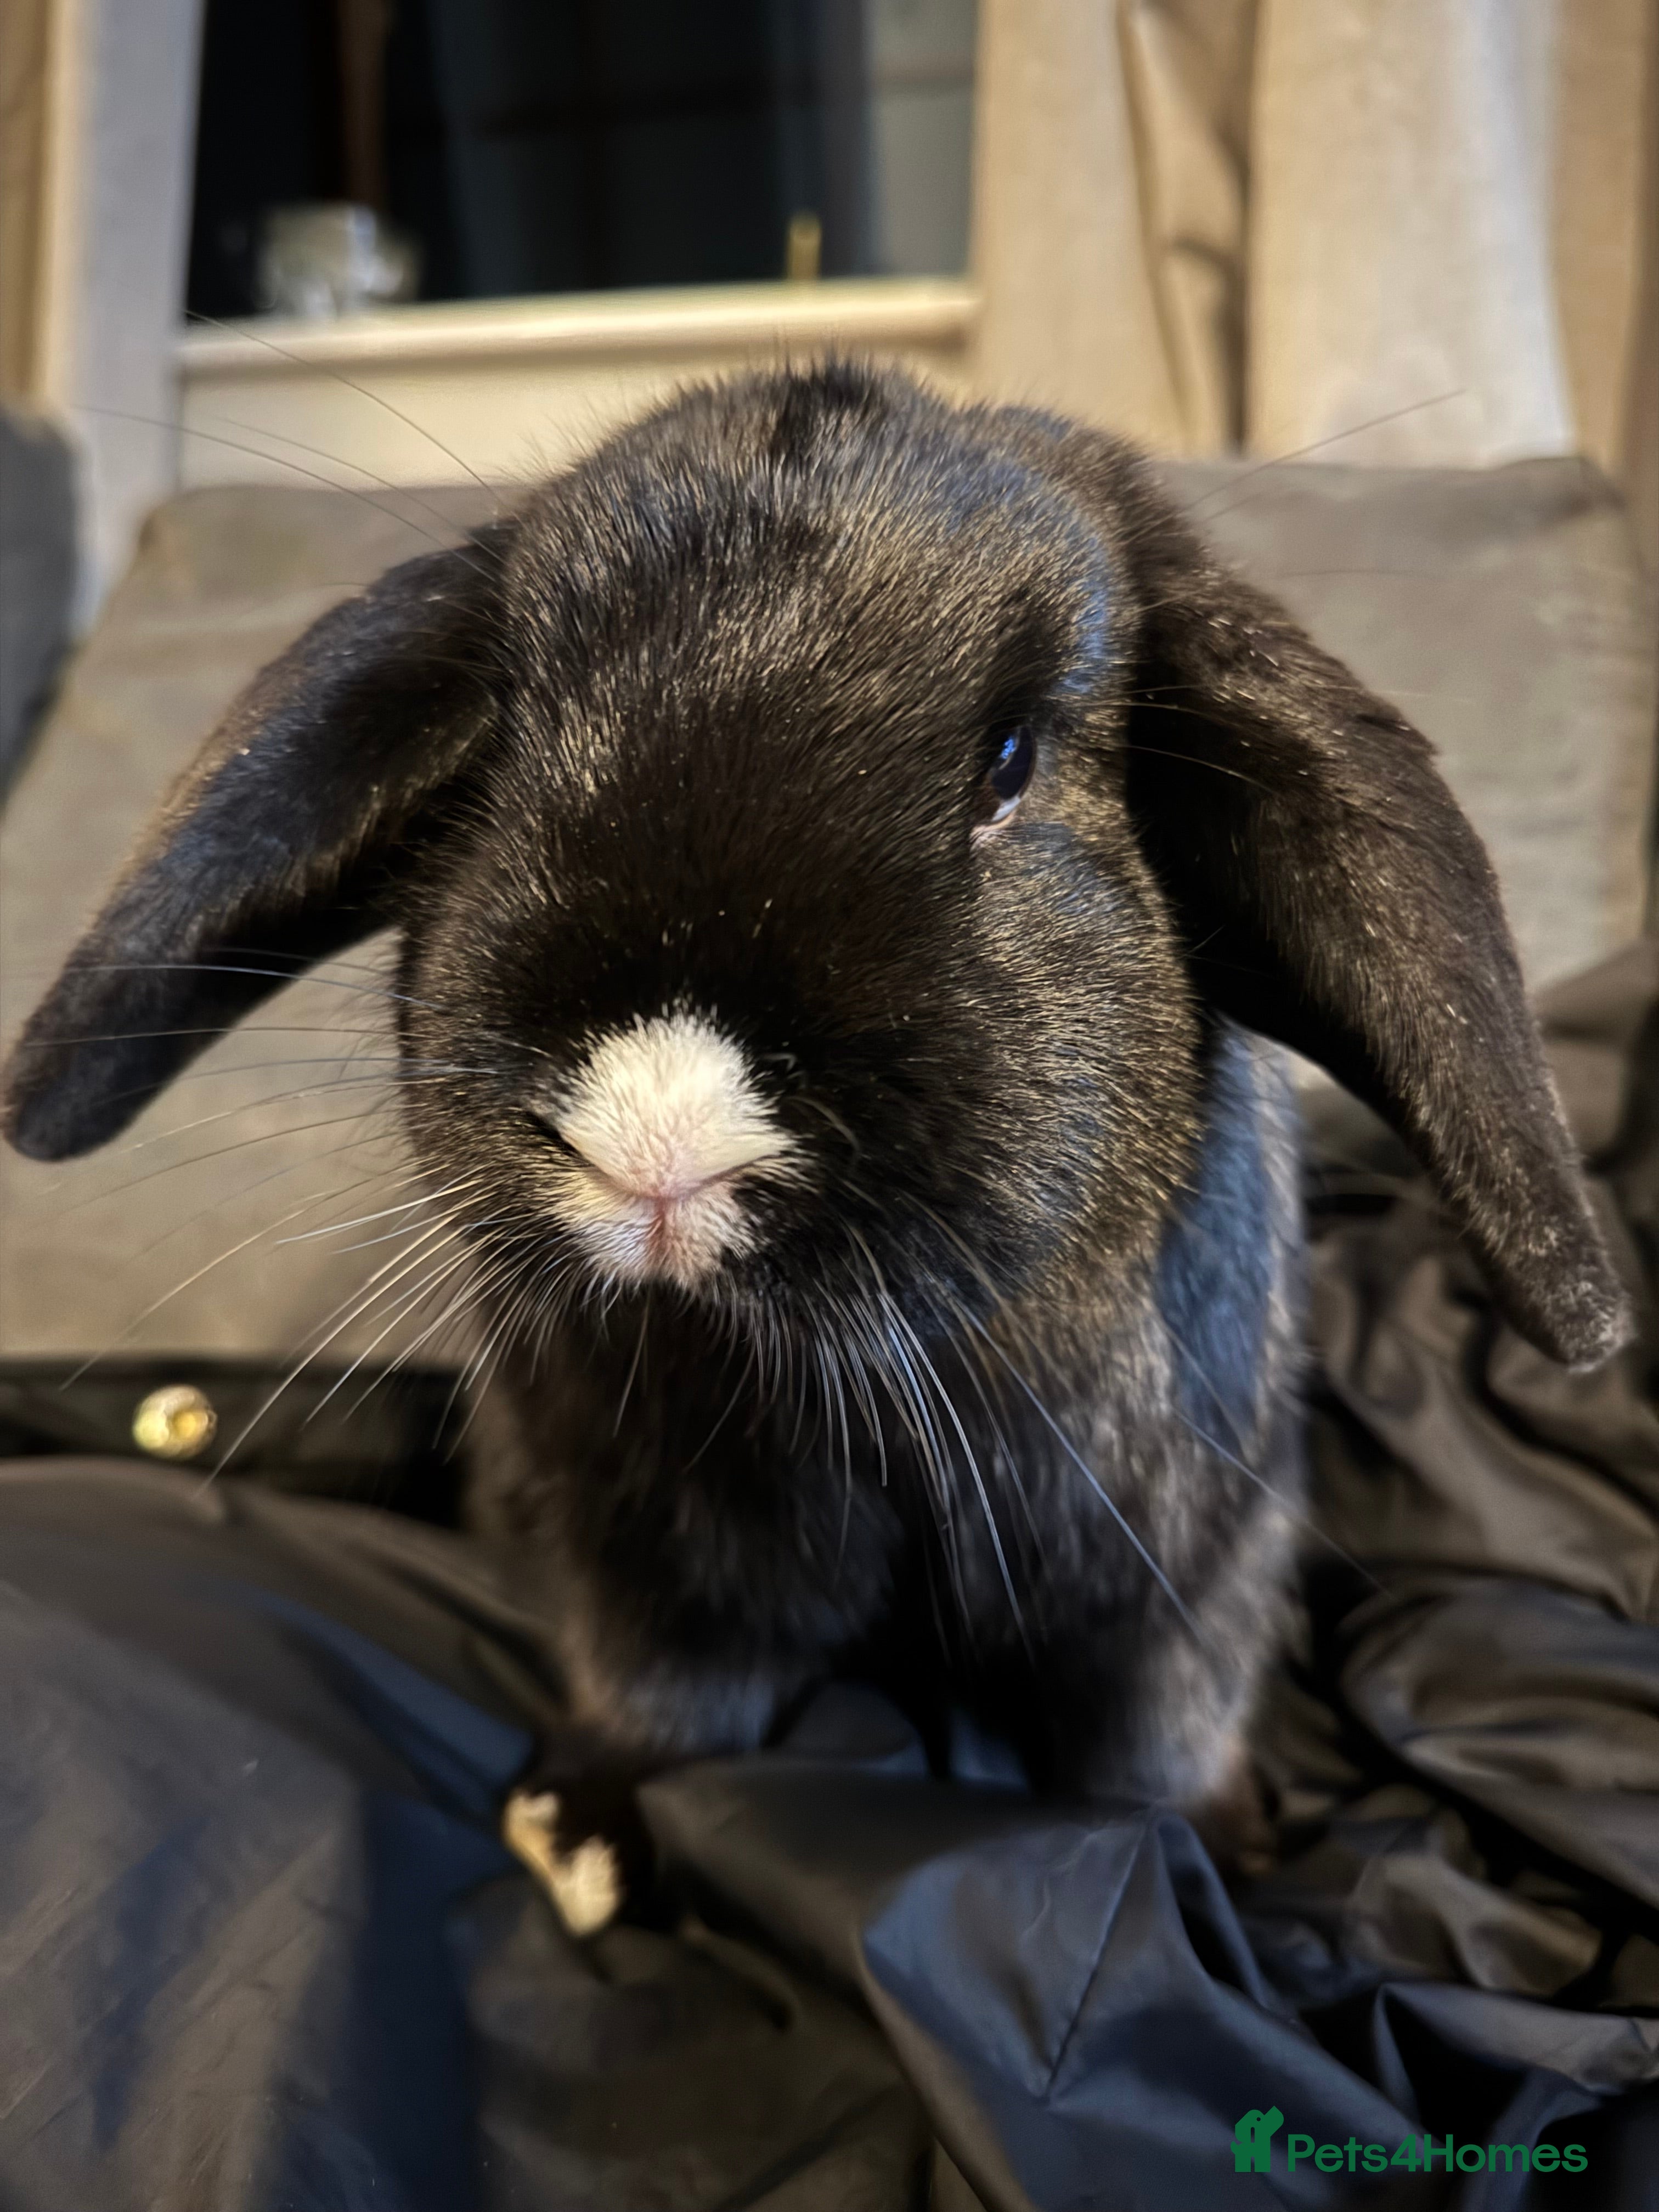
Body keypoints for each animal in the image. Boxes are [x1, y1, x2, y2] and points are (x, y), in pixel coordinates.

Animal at [1, 358, 1631, 1835]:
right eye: (507, 740)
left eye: (1011, 760)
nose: (659, 1135)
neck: (849, 1401)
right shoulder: (651, 1575)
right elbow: (669, 1704)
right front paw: (578, 1828)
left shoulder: (1181, 1584)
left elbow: (1149, 1748)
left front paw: (1198, 1854)